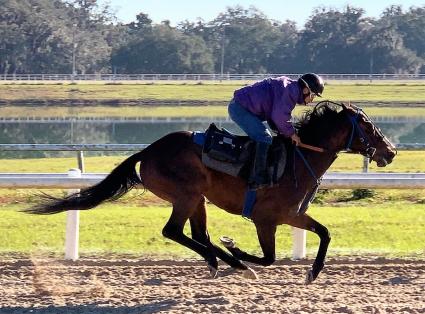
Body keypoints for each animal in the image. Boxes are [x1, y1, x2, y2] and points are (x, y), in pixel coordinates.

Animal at [24, 102, 396, 284]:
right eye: (367, 125)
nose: (390, 151)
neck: (299, 159)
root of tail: (148, 150)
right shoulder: (266, 219)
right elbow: (268, 258)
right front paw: (237, 250)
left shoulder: (292, 215)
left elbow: (325, 233)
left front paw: (312, 273)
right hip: (186, 195)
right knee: (174, 231)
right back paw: (224, 261)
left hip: (197, 199)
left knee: (197, 233)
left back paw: (222, 261)